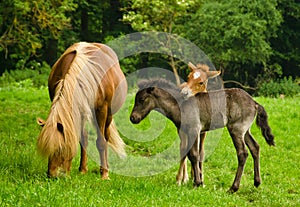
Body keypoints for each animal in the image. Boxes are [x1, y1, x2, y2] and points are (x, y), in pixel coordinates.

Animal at [37, 41, 127, 179]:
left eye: (61, 148)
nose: (52, 175)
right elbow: (82, 139)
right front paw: (82, 170)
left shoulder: (101, 110)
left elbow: (101, 142)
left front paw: (104, 175)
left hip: (108, 115)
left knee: (106, 136)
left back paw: (105, 168)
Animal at [130, 79, 276, 192]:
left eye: (141, 99)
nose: (133, 118)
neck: (181, 104)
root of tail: (254, 103)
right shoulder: (189, 132)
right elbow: (190, 154)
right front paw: (195, 181)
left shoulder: (194, 130)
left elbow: (194, 155)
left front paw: (197, 183)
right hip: (245, 131)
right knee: (255, 147)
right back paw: (257, 182)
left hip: (236, 129)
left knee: (243, 153)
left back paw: (233, 188)